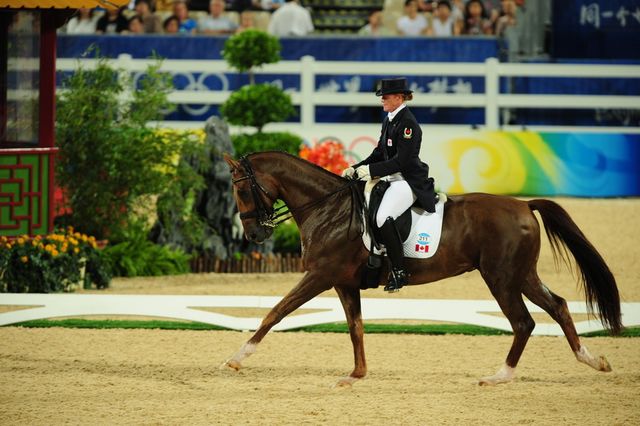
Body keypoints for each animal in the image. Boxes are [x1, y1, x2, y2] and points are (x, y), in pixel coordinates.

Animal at [221, 151, 622, 387]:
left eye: (240, 190)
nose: (255, 234)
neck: (327, 208)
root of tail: (524, 205)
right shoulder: (344, 282)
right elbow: (355, 328)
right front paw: (356, 374)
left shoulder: (319, 276)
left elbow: (276, 312)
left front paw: (238, 358)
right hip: (521, 275)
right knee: (558, 306)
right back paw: (593, 361)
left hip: (501, 278)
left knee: (524, 322)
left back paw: (500, 376)